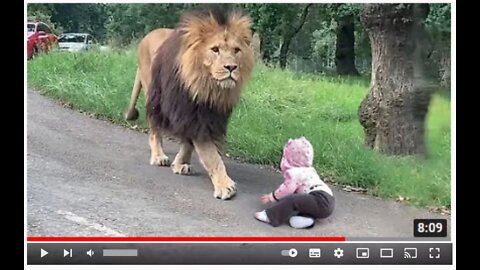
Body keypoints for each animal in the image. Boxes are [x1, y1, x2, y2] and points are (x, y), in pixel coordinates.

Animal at [125, 7, 256, 199]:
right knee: (155, 128)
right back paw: (158, 156)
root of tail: (147, 35)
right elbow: (211, 155)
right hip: (154, 94)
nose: (231, 67)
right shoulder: (187, 111)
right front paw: (225, 186)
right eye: (215, 49)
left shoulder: (207, 116)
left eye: (236, 50)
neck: (208, 88)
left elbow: (189, 143)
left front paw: (181, 164)